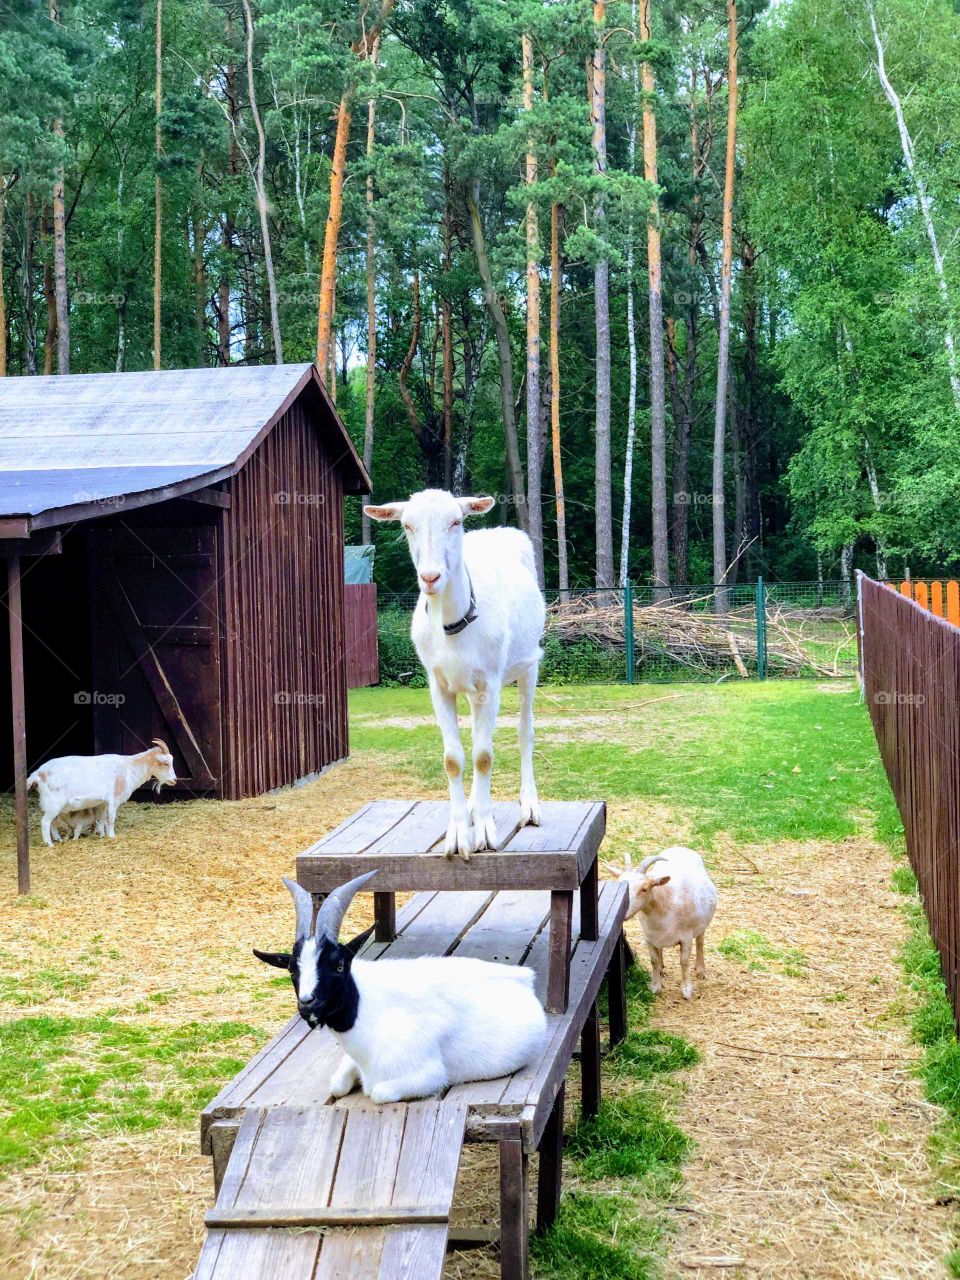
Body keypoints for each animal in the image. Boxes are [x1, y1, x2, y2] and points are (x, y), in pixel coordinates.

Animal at [27, 740, 176, 846]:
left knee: (52, 823)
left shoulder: (103, 802)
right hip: (54, 804)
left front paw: (101, 834)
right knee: (45, 822)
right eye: (165, 763)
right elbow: (111, 818)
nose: (174, 780)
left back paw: (58, 839)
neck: (128, 767)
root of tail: (37, 774)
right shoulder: (113, 799)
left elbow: (103, 818)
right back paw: (49, 844)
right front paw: (112, 835)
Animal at [254, 871, 547, 1104]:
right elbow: (336, 1086)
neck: (371, 1013)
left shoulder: (428, 1075)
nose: (307, 1004)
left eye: (338, 966)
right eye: (292, 970)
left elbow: (378, 1092)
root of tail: (523, 977)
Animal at [364, 490, 545, 858]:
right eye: (407, 525)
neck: (454, 624)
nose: (431, 577)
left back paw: (530, 807)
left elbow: (484, 756)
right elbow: (454, 758)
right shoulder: (438, 685)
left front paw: (486, 833)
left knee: (525, 732)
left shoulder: (490, 682)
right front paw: (459, 834)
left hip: (529, 665)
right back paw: (475, 806)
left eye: (456, 521)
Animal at [616, 847, 718, 999]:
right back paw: (662, 969)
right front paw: (656, 986)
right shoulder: (648, 938)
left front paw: (687, 990)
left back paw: (700, 971)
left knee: (700, 942)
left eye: (644, 889)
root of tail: (680, 847)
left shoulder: (686, 937)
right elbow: (654, 960)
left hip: (702, 924)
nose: (623, 911)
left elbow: (684, 961)